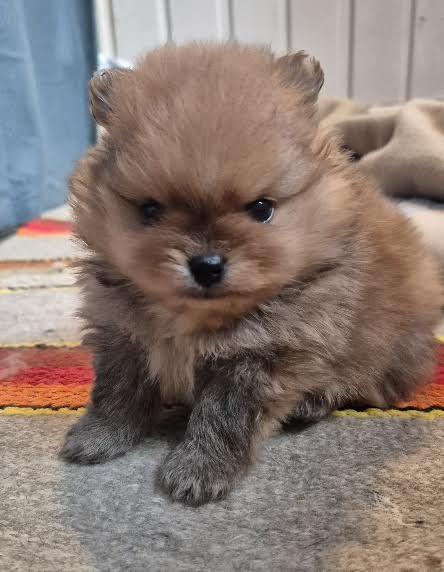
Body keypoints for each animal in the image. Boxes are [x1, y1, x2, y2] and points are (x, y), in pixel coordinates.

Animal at [61, 43, 442, 505]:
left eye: (261, 209)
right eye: (149, 211)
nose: (207, 264)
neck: (194, 319)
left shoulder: (263, 354)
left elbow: (223, 417)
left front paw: (199, 470)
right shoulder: (122, 332)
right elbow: (115, 391)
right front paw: (99, 436)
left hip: (388, 351)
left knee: (369, 384)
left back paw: (313, 402)